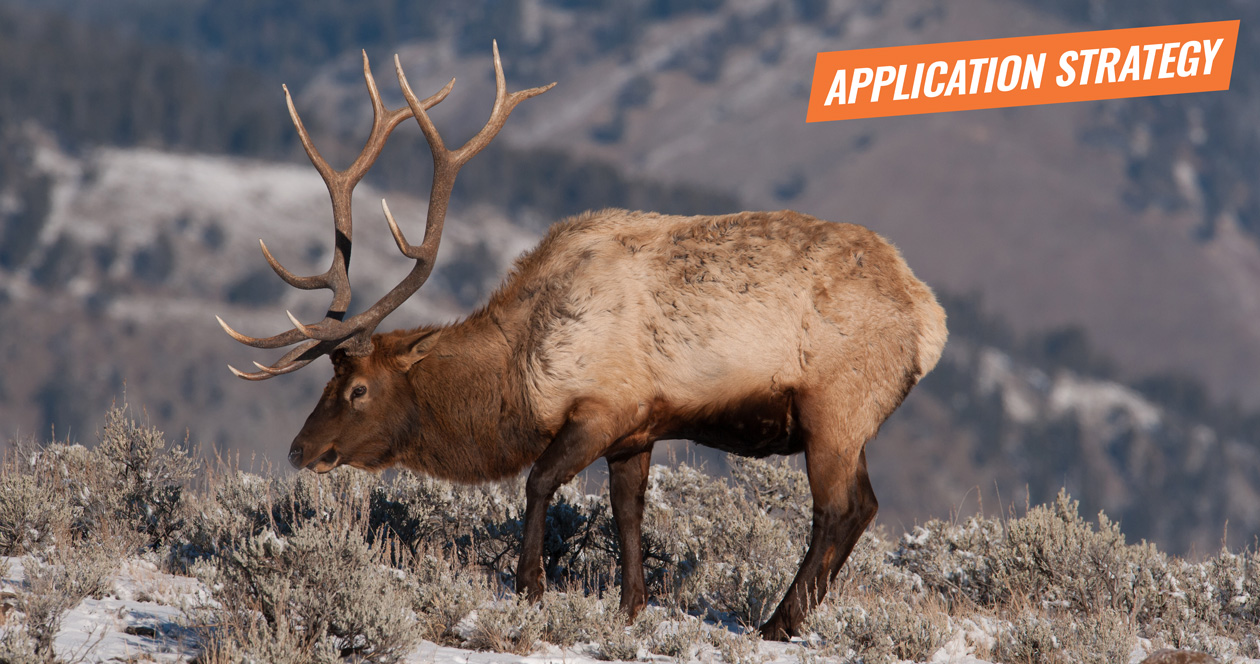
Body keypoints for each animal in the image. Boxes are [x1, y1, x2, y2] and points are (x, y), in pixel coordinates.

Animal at [217, 43, 947, 640]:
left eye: (359, 389)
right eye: (328, 382)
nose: (300, 449)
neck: (519, 377)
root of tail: (930, 318)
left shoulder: (603, 406)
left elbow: (538, 481)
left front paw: (531, 586)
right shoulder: (638, 429)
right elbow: (627, 514)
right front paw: (631, 607)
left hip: (837, 407)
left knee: (842, 510)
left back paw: (778, 623)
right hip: (846, 418)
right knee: (860, 507)